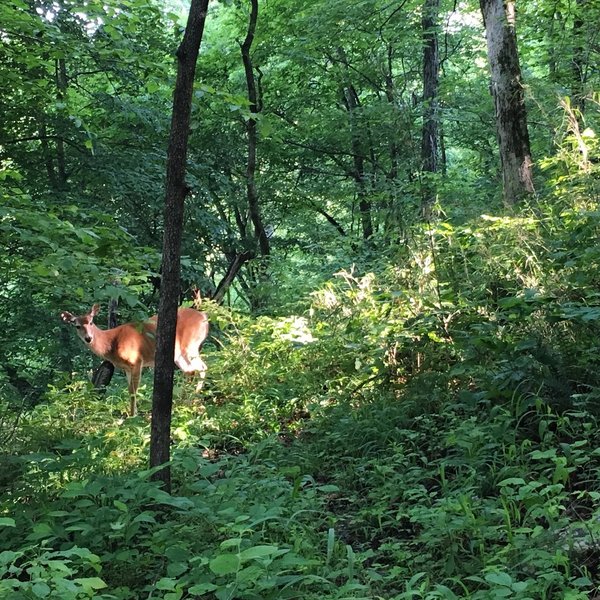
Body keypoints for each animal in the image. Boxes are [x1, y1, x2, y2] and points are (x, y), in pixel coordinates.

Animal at [61, 304, 210, 418]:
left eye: (91, 322)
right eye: (77, 326)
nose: (88, 338)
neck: (112, 343)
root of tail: (204, 317)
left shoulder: (136, 360)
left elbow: (134, 390)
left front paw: (132, 416)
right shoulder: (126, 368)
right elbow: (129, 390)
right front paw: (133, 413)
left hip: (190, 345)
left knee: (202, 367)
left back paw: (192, 399)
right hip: (178, 355)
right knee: (191, 371)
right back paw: (184, 401)